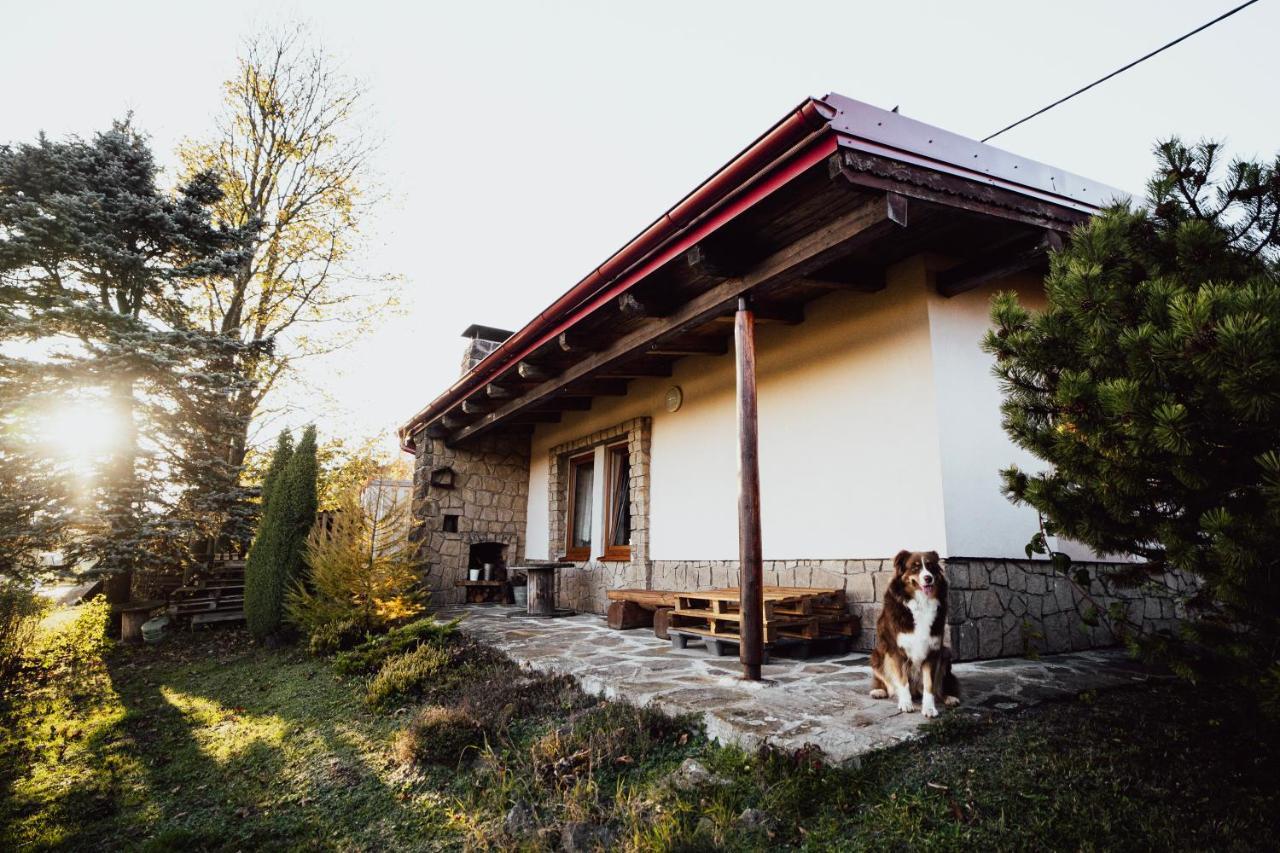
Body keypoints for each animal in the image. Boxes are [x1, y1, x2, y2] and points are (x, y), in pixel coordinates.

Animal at [870, 548, 962, 712]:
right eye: (915, 567)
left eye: (931, 566)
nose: (928, 578)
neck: (921, 602)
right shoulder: (897, 650)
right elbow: (902, 680)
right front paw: (906, 703)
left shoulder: (933, 650)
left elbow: (930, 684)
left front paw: (929, 709)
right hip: (878, 654)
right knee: (885, 681)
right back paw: (879, 691)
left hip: (945, 653)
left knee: (941, 686)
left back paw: (949, 697)